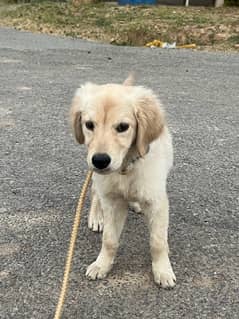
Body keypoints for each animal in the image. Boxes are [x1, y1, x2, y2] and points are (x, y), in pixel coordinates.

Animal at [70, 78, 176, 290]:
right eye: (89, 125)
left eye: (122, 127)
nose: (100, 160)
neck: (126, 167)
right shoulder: (112, 202)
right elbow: (109, 239)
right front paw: (102, 264)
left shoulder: (157, 201)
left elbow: (157, 241)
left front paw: (163, 270)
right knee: (95, 193)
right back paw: (96, 217)